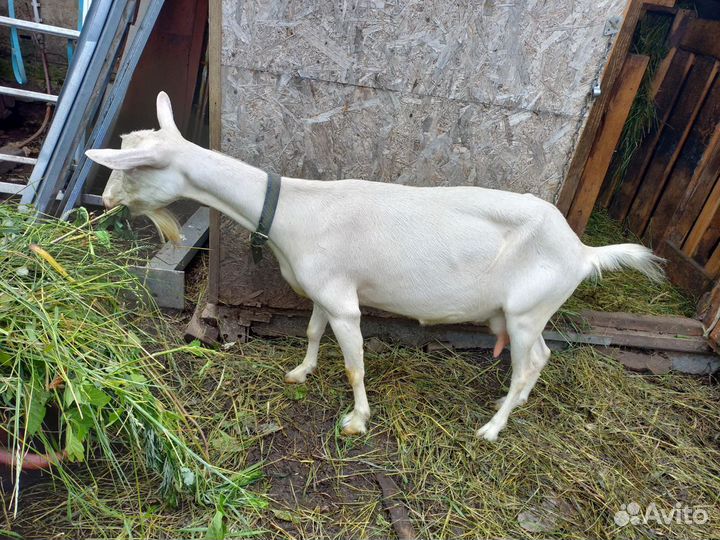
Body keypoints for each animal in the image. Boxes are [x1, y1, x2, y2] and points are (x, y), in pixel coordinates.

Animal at [86, 92, 664, 441]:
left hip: (528, 311)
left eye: (134, 169)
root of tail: (582, 251)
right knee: (533, 362)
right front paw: (300, 372)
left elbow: (354, 363)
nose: (106, 199)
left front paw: (356, 420)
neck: (295, 210)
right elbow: (312, 333)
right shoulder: (326, 291)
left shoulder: (346, 304)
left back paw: (492, 428)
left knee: (531, 362)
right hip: (519, 313)